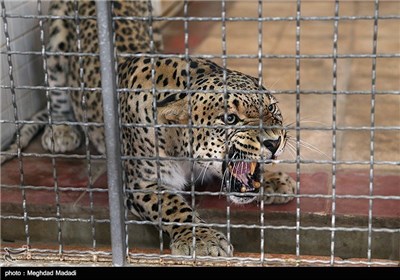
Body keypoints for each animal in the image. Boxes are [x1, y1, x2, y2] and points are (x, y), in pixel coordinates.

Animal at [1, 0, 296, 258]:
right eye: (230, 119)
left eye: (272, 108)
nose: (274, 142)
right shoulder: (142, 183)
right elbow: (173, 207)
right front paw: (202, 240)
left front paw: (274, 179)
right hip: (56, 38)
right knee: (57, 95)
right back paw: (61, 131)